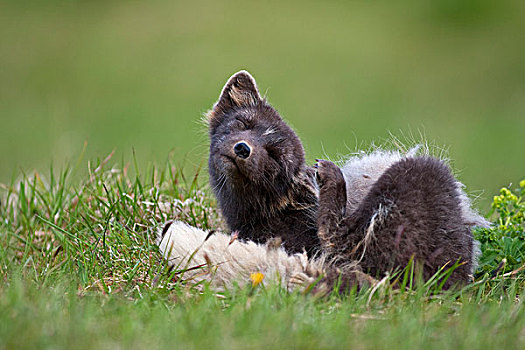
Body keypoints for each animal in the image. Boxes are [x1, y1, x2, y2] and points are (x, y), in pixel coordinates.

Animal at [157, 71, 488, 292]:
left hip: (419, 171)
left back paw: (331, 178)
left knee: (345, 242)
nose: (242, 148)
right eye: (243, 123)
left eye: (275, 156)